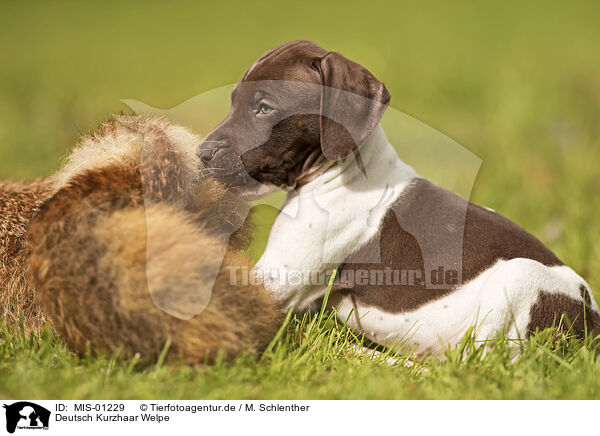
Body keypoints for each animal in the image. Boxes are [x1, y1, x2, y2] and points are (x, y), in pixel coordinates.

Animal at [200, 40, 600, 354]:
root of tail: (592, 325)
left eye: (264, 107)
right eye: (234, 103)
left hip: (519, 277)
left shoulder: (276, 280)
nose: (202, 153)